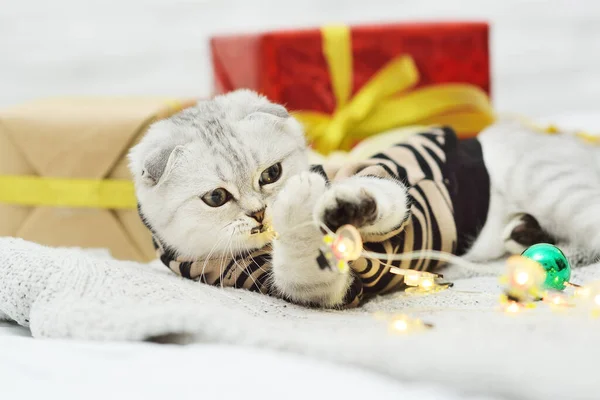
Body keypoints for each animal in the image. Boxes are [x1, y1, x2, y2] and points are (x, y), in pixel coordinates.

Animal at [129, 90, 600, 308]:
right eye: (216, 197)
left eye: (271, 175)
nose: (261, 213)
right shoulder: (306, 285)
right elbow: (302, 261)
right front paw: (304, 209)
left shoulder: (393, 175)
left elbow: (380, 193)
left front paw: (337, 202)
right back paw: (524, 235)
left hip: (556, 189)